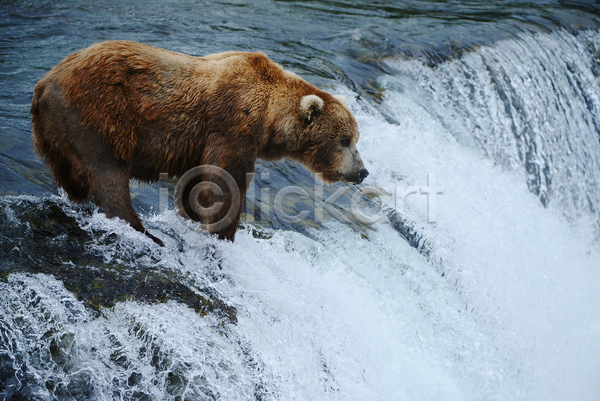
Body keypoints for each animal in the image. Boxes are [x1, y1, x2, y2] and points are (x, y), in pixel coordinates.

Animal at [30, 40, 368, 242]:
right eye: (345, 140)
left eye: (355, 138)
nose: (362, 171)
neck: (269, 118)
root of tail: (45, 82)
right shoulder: (232, 126)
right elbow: (224, 184)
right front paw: (223, 233)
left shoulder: (202, 144)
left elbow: (196, 183)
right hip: (100, 115)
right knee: (107, 172)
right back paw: (141, 230)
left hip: (52, 134)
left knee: (70, 175)